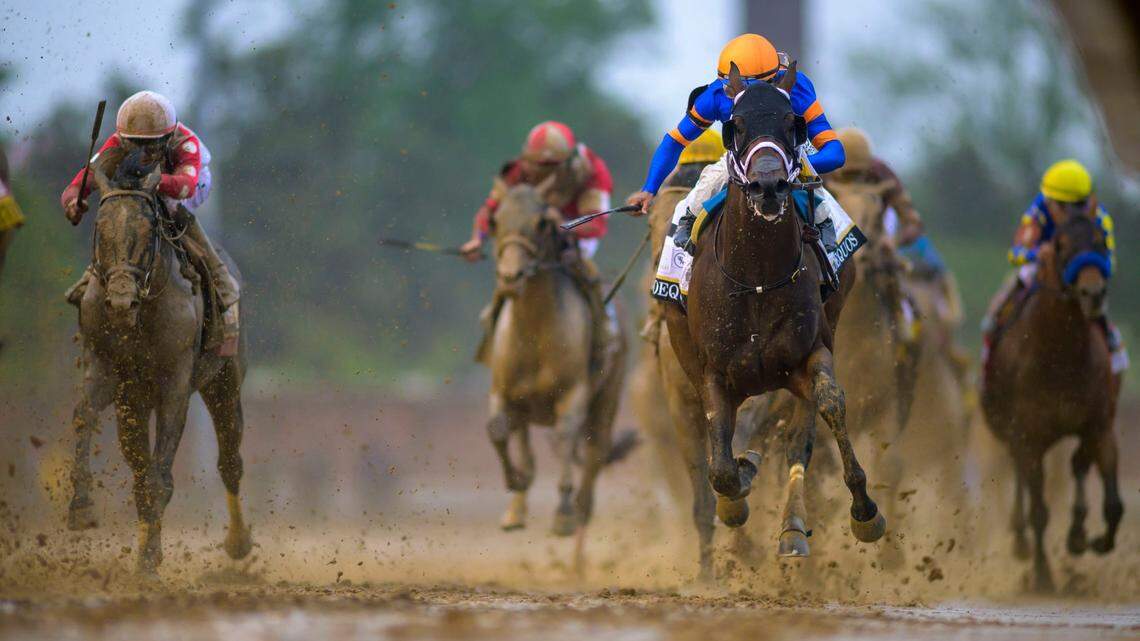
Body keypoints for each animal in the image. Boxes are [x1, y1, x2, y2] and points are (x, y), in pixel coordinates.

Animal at [65, 148, 252, 574]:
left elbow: (161, 474)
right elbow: (84, 415)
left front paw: (150, 559)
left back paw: (237, 543)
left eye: (148, 229)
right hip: (133, 402)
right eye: (100, 227)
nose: (120, 301)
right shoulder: (107, 369)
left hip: (225, 379)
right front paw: (81, 507)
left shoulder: (174, 384)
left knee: (229, 462)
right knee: (138, 468)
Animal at [483, 177, 630, 553]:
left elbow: (566, 436)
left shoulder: (574, 392)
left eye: (540, 224)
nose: (511, 276)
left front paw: (563, 514)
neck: (536, 331)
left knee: (595, 450)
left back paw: (580, 511)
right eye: (496, 221)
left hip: (608, 395)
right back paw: (518, 507)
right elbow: (497, 429)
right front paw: (516, 483)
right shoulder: (504, 391)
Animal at [661, 62, 886, 574]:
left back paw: (792, 531)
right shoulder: (712, 371)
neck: (757, 276)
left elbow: (829, 406)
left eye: (791, 123)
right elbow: (722, 467)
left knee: (798, 439)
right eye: (736, 124)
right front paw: (735, 492)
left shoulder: (809, 355)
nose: (768, 186)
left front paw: (864, 511)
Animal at [981, 212, 1123, 592]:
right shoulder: (1028, 434)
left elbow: (1113, 504)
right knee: (1022, 477)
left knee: (1077, 465)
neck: (1062, 353)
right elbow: (1039, 511)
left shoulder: (1099, 425)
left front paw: (1095, 540)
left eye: (1101, 240)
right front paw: (1043, 575)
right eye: (1060, 245)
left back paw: (1076, 533)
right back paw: (1021, 539)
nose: (1093, 294)